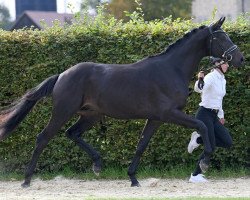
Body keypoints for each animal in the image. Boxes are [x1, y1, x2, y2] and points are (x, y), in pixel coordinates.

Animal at [0, 17, 243, 188]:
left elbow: (141, 145)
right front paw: (205, 161)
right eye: (222, 38)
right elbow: (202, 125)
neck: (171, 69)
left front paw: (133, 178)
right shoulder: (169, 114)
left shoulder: (155, 118)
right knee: (43, 138)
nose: (240, 59)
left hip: (90, 115)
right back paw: (26, 180)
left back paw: (97, 165)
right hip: (63, 111)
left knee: (72, 133)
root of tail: (62, 75)